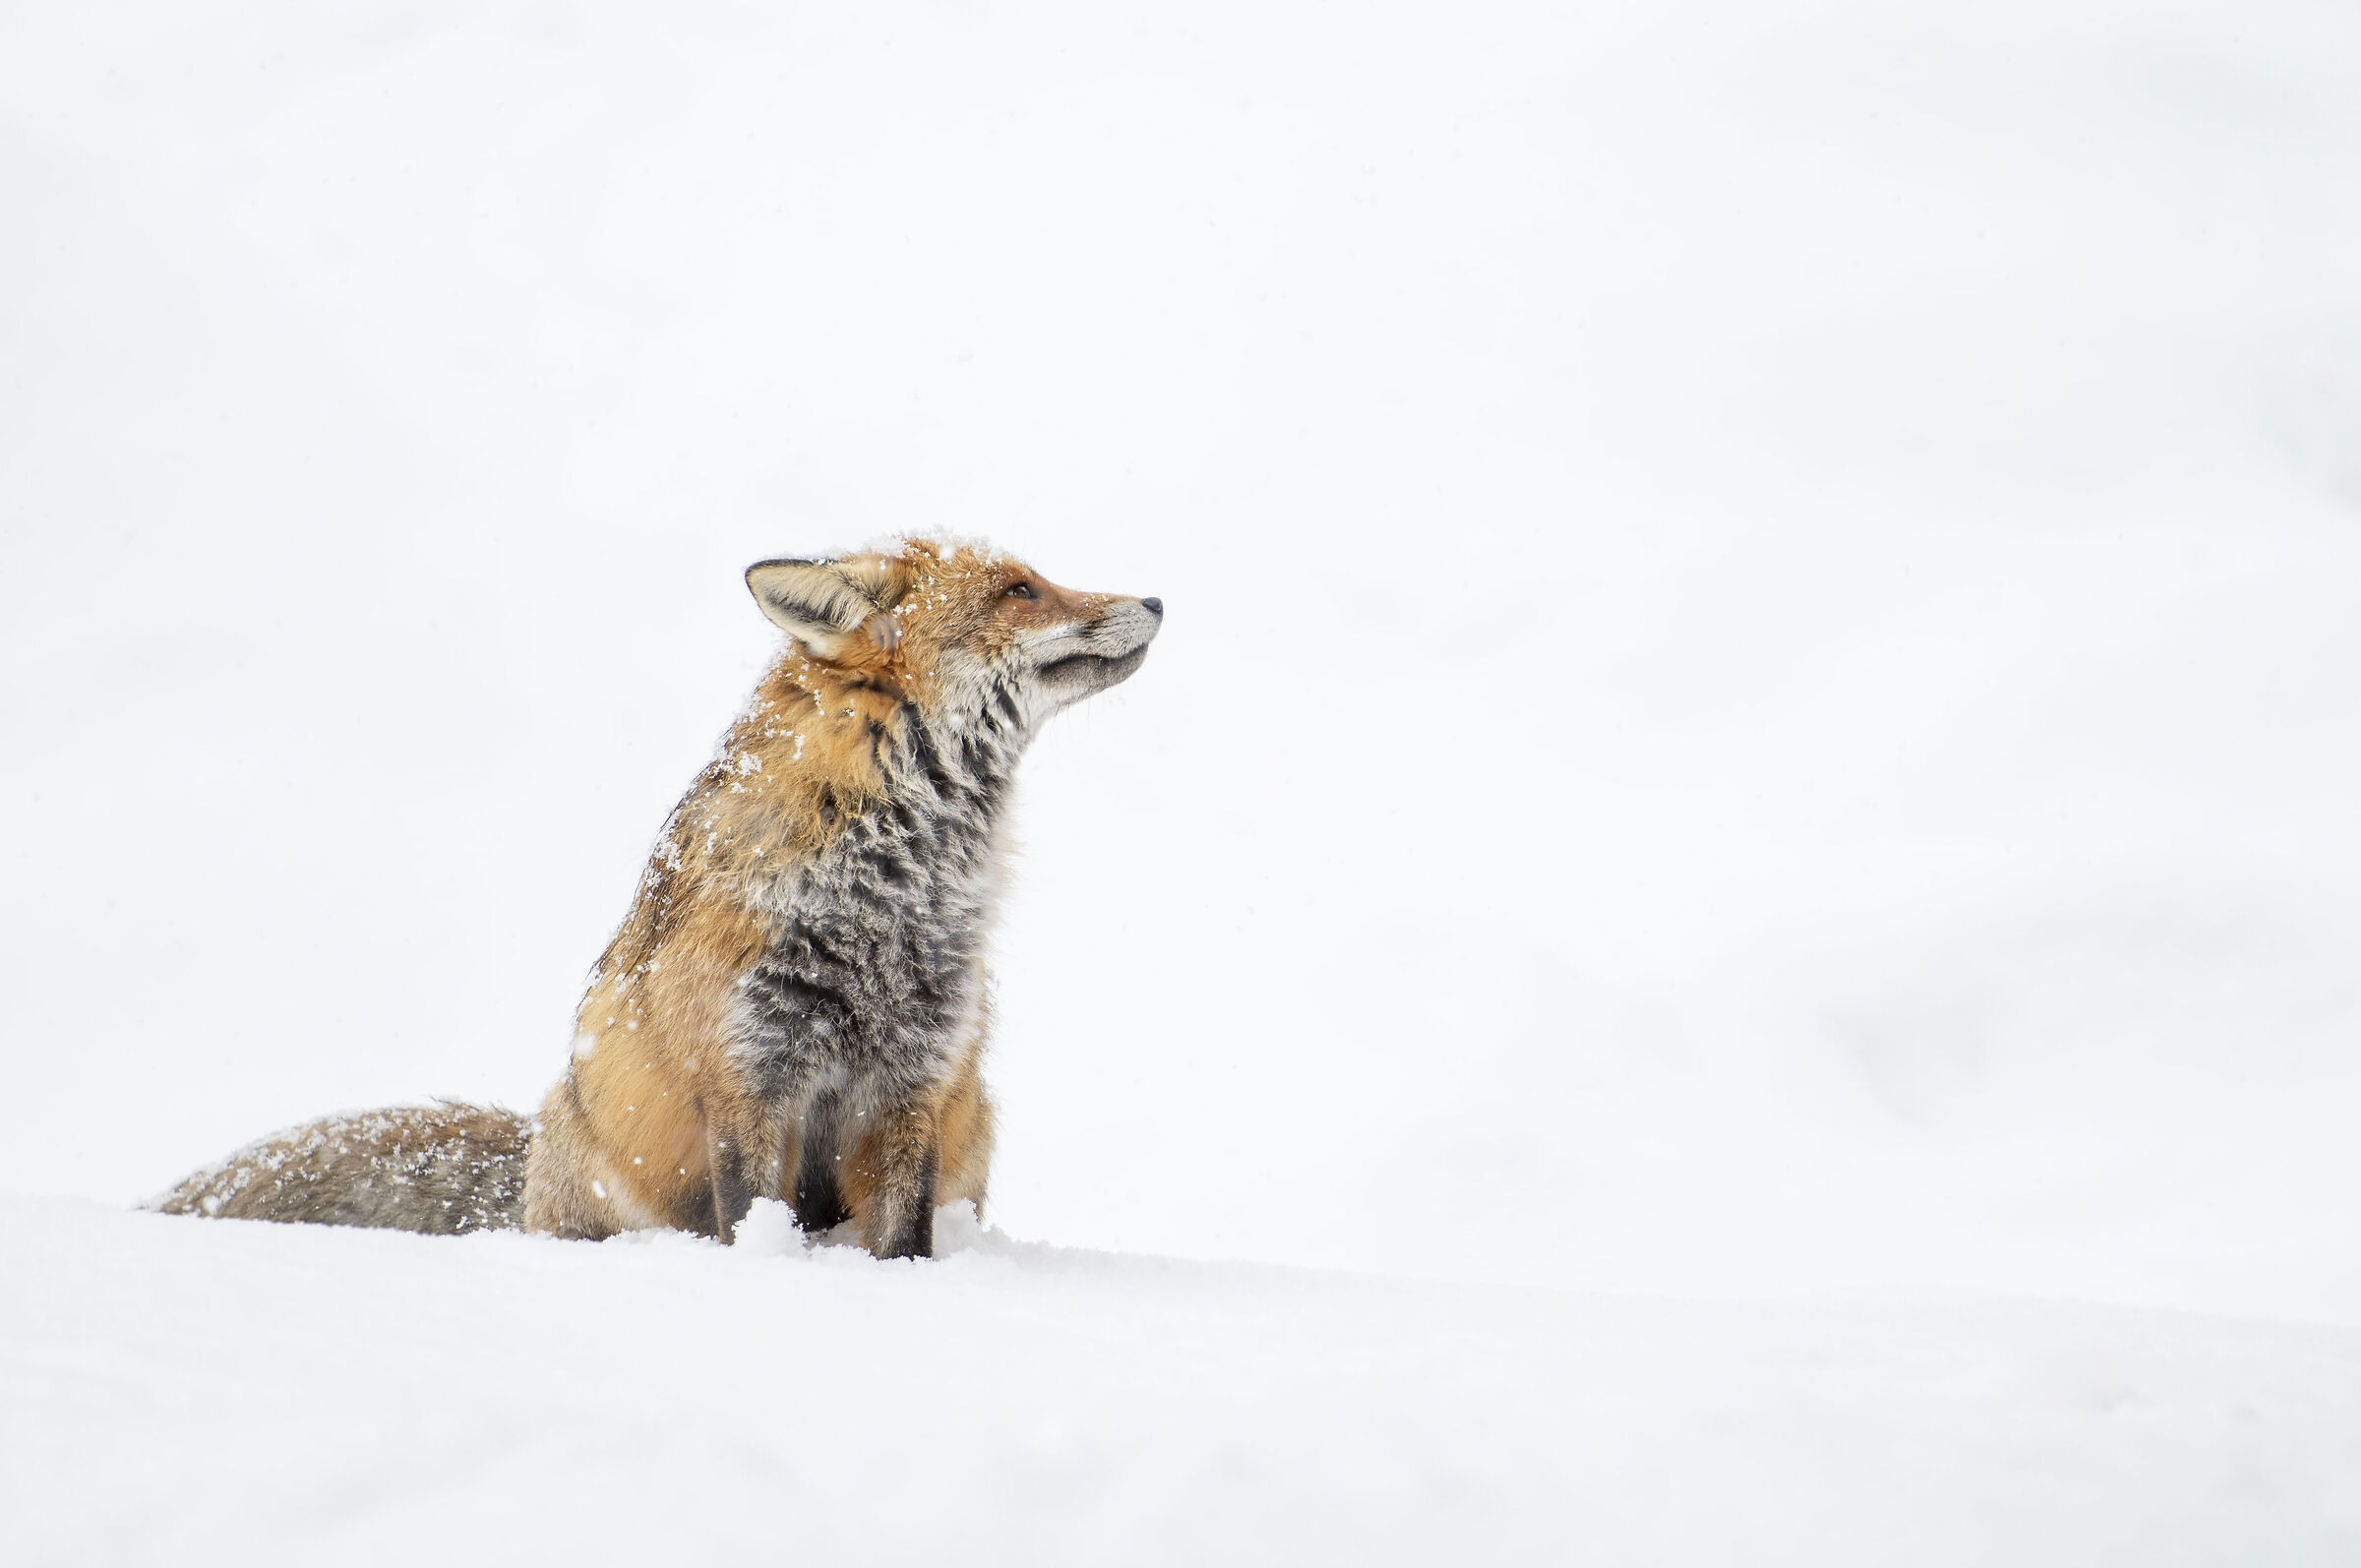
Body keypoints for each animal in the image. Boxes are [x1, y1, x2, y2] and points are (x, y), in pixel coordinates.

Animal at [154, 540, 1162, 1258]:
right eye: (1022, 590)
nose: (1155, 599)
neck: (888, 894)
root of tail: (534, 1152)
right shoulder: (747, 1078)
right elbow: (753, 1220)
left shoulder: (917, 1079)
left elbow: (905, 1238)